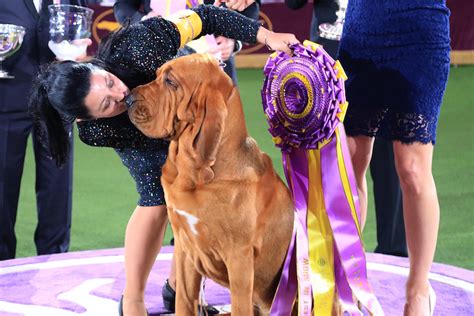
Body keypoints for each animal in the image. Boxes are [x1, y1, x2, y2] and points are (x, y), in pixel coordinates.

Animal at [128, 53, 294, 314]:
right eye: (157, 75)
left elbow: (239, 305)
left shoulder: (239, 258)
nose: (127, 98)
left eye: (171, 82)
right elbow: (184, 300)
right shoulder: (185, 248)